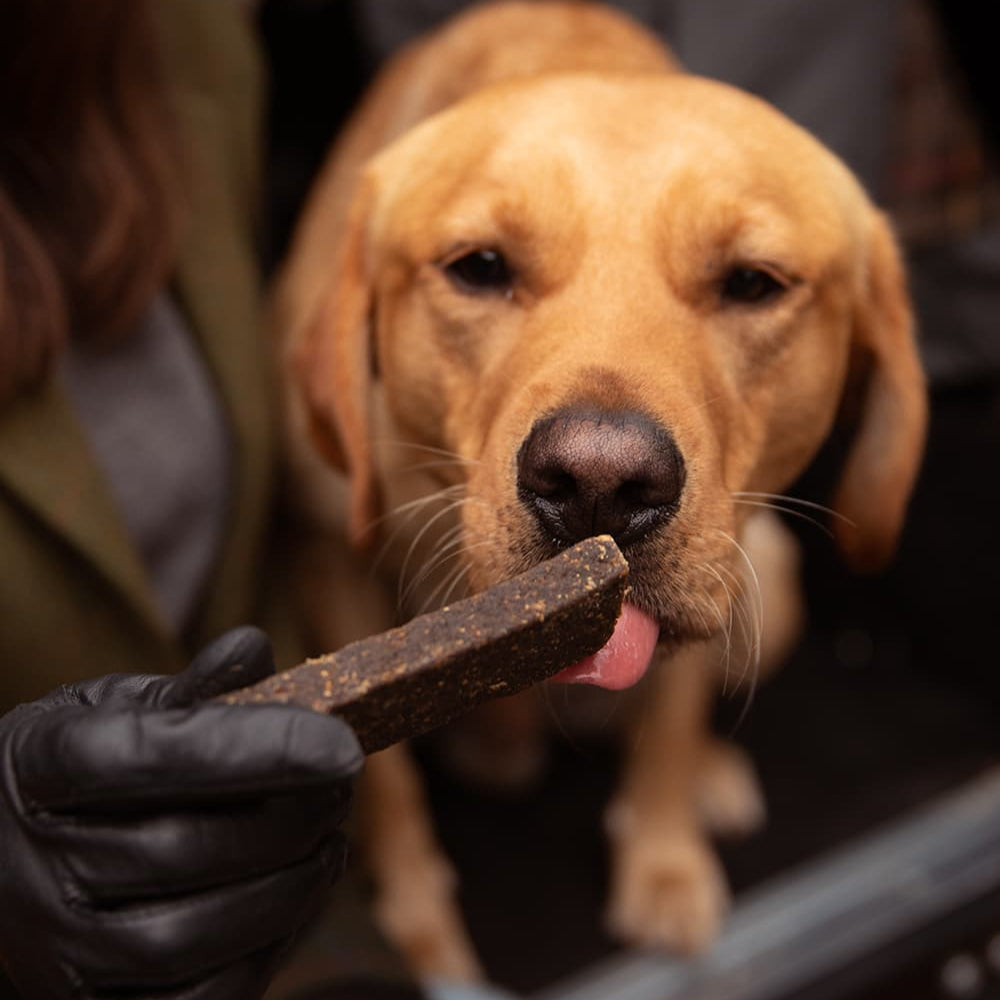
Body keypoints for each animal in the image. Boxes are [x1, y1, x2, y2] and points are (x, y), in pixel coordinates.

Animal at [270, 1, 924, 984]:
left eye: (753, 283)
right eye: (478, 267)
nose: (599, 482)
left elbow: (669, 725)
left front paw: (665, 862)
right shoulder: (325, 570)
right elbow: (388, 786)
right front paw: (420, 936)